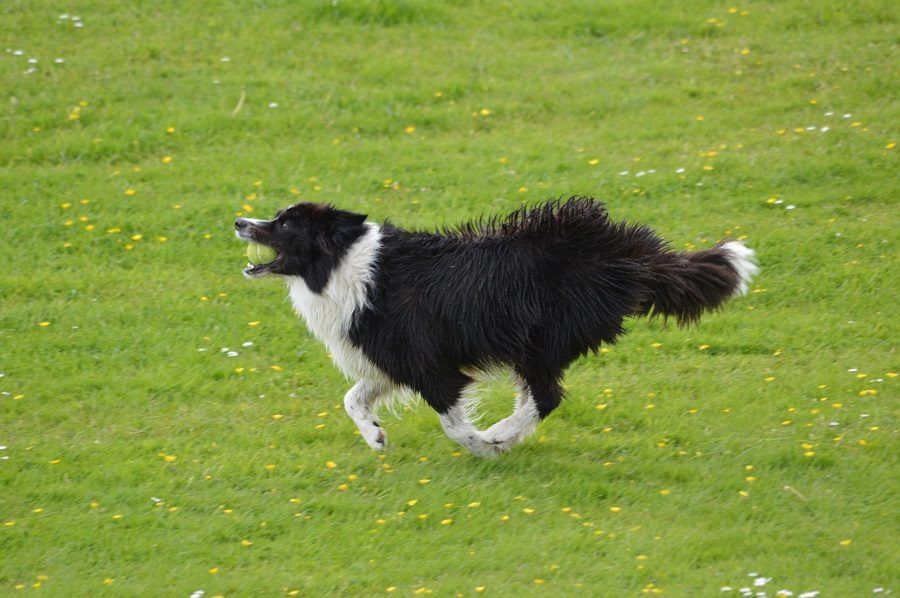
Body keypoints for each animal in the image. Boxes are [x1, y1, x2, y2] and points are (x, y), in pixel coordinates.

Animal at [236, 199, 756, 458]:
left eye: (285, 225)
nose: (241, 220)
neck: (344, 264)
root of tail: (622, 250)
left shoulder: (432, 366)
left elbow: (451, 423)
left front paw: (484, 446)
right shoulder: (393, 361)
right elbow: (352, 398)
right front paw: (375, 436)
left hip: (542, 339)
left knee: (547, 396)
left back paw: (504, 433)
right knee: (537, 395)